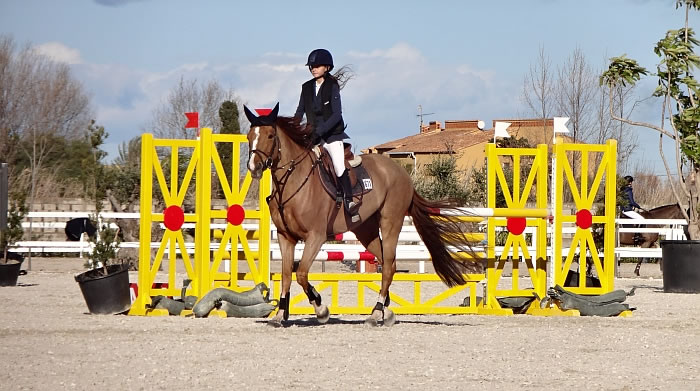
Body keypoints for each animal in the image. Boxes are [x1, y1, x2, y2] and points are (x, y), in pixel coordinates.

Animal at [245, 104, 482, 328]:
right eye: (249, 136)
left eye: (270, 136)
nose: (253, 167)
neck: (293, 182)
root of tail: (402, 173)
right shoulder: (286, 237)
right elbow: (287, 275)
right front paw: (279, 315)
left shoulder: (316, 237)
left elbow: (301, 273)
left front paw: (321, 310)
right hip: (365, 230)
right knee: (388, 264)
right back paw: (385, 310)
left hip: (390, 223)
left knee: (388, 265)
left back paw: (376, 313)